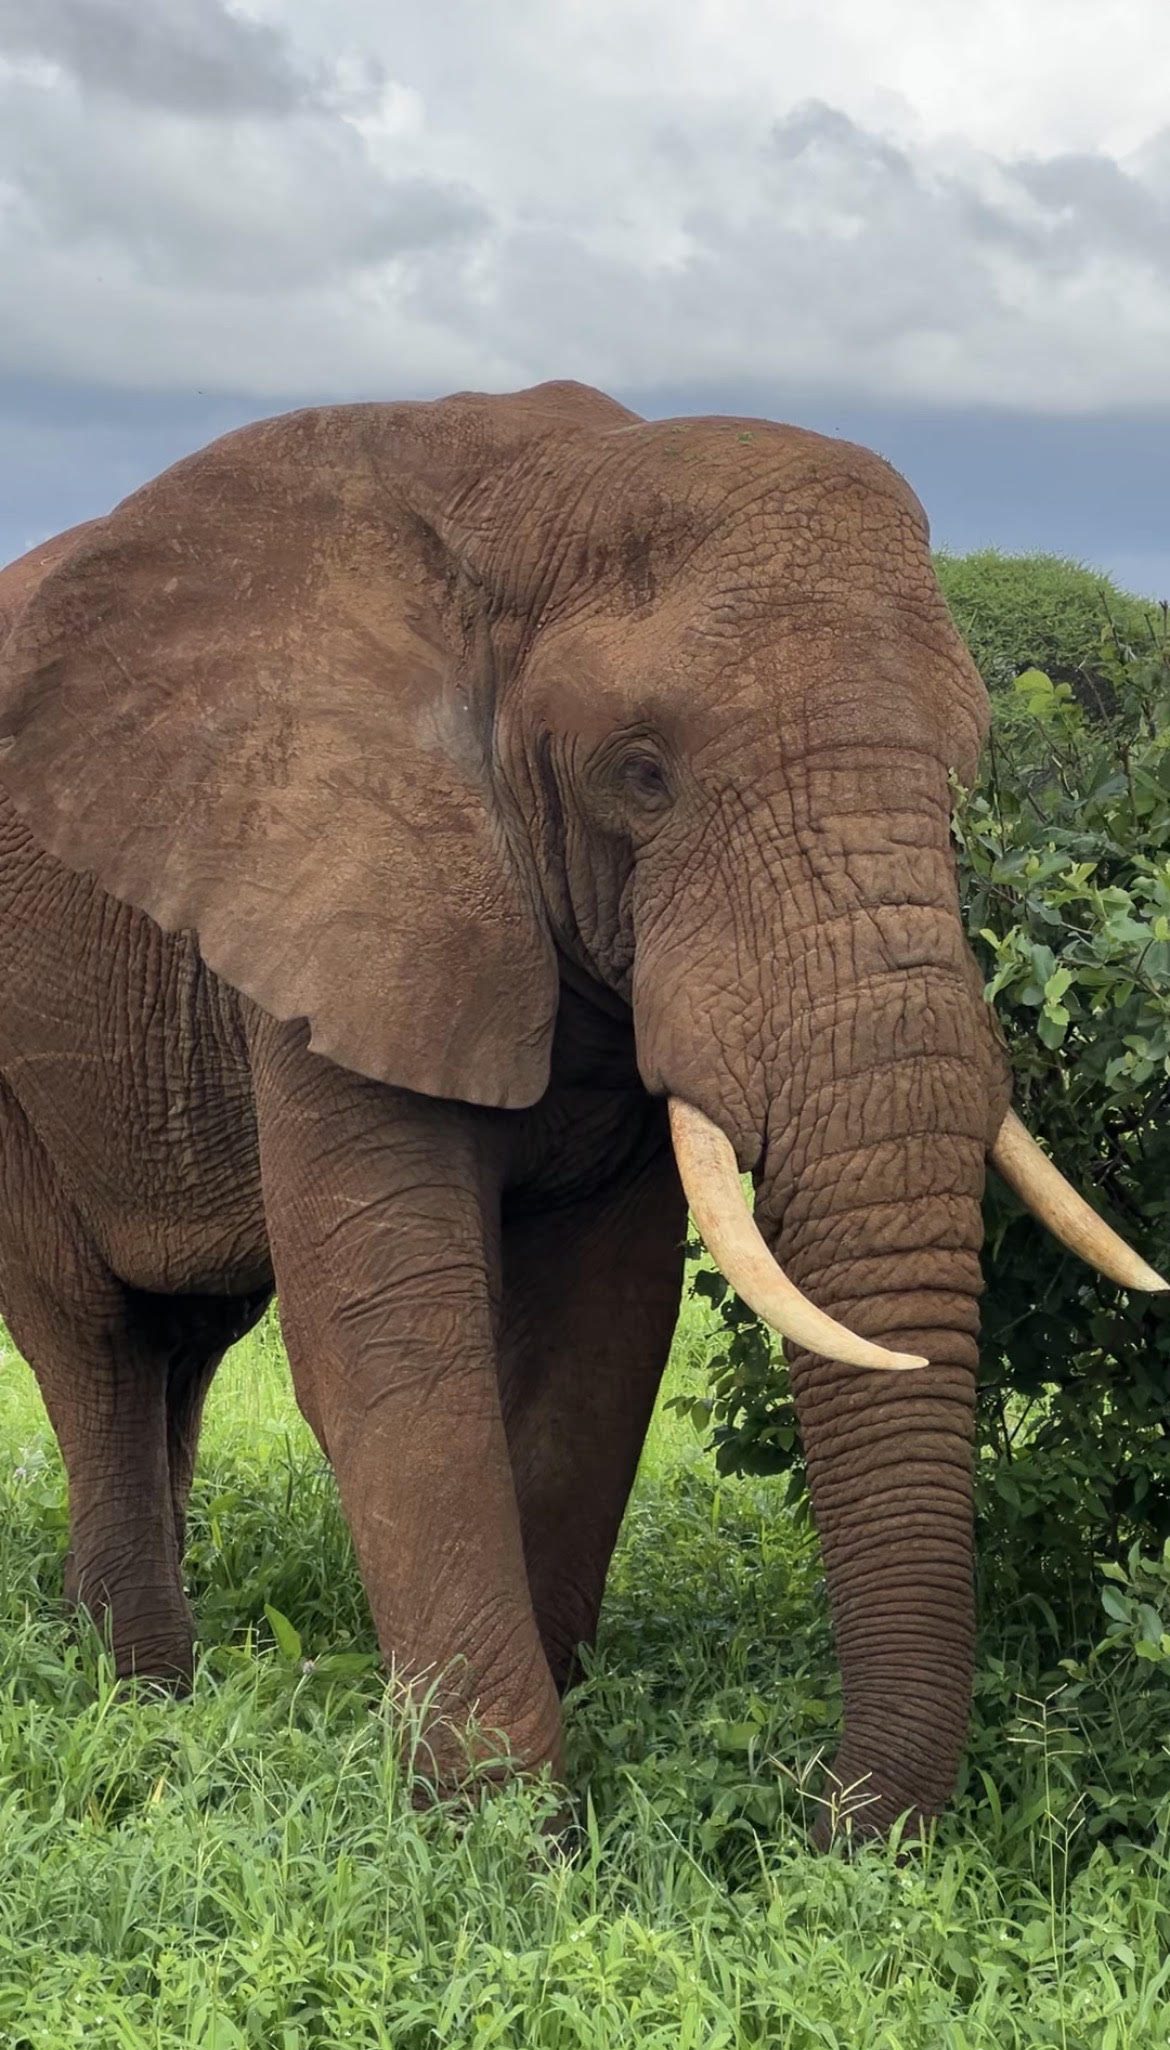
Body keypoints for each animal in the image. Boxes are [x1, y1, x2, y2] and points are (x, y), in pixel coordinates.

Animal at [0, 379, 1162, 1841]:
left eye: (967, 774)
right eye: (641, 773)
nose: (817, 1811)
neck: (541, 493)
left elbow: (600, 1330)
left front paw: (545, 1775)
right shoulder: (332, 871)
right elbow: (393, 1332)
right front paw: (507, 1832)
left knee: (187, 1339)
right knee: (93, 1332)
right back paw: (149, 1693)